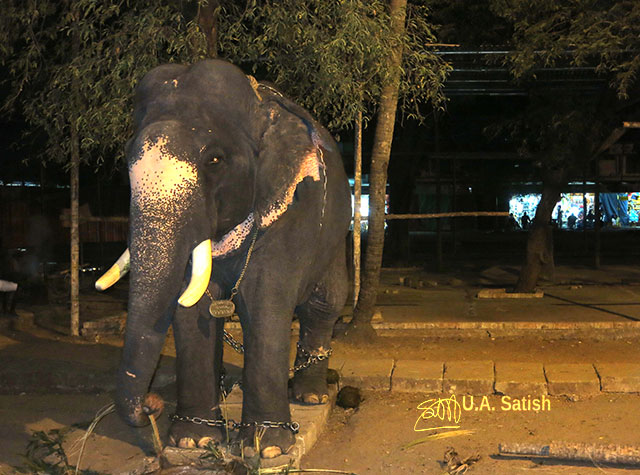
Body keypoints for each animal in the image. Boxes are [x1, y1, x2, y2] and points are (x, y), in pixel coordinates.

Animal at [96, 57, 350, 460]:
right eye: (124, 156)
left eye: (214, 159)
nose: (152, 405)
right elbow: (192, 311)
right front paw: (193, 440)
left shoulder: (293, 211)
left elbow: (264, 304)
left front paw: (266, 448)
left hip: (338, 230)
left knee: (324, 304)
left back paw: (310, 397)